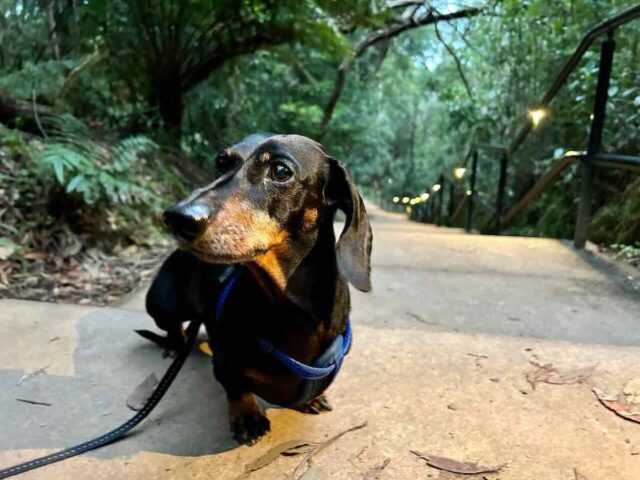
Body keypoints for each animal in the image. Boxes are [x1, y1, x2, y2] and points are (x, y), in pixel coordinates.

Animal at [142, 133, 372, 444]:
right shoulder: (224, 361)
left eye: (280, 171)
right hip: (160, 302)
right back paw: (174, 343)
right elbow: (235, 383)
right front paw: (247, 415)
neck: (288, 310)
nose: (176, 218)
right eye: (221, 161)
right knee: (172, 325)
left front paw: (311, 399)